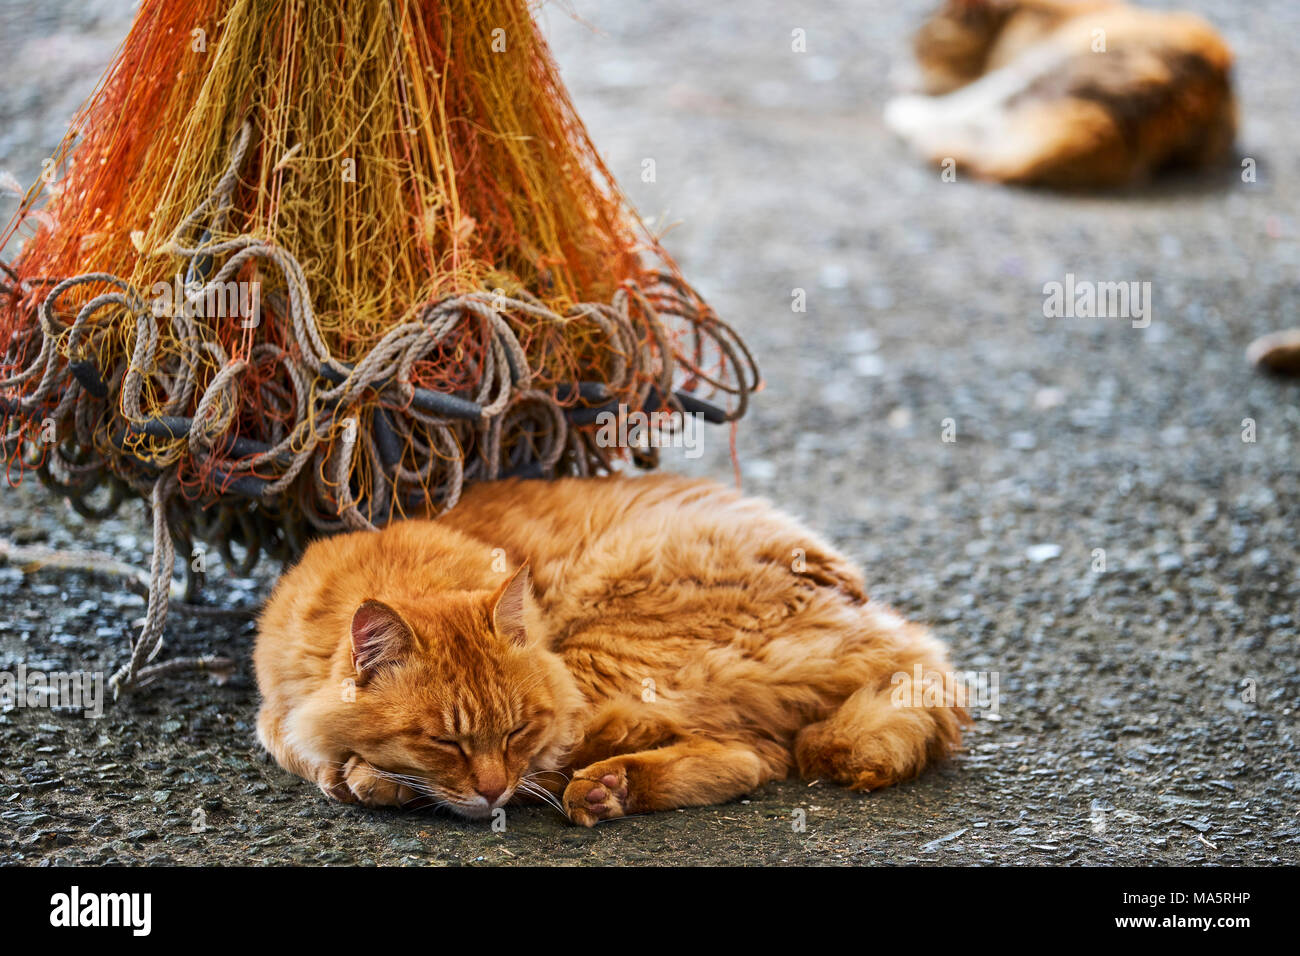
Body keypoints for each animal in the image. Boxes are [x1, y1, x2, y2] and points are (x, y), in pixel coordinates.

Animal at [253, 476, 967, 827]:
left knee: (745, 756)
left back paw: (604, 788)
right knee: (757, 756)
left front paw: (370, 776)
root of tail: (878, 617)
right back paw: (611, 789)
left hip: (606, 653)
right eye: (444, 741)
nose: (489, 789)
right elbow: (294, 742)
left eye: (515, 731)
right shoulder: (274, 708)